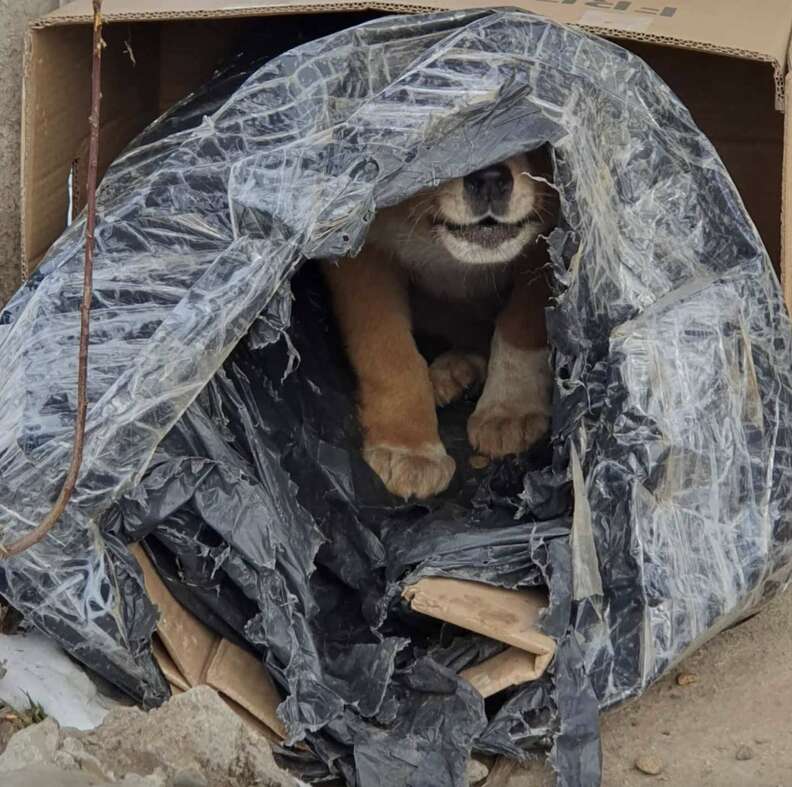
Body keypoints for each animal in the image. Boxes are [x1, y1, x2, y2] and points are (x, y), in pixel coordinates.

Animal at [322, 149, 556, 498]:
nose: (489, 179)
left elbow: (521, 326)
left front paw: (510, 408)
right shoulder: (361, 253)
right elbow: (388, 353)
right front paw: (408, 446)